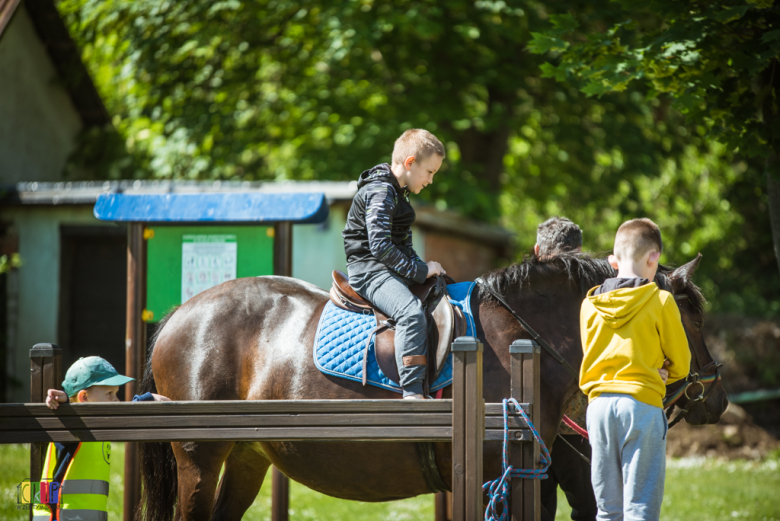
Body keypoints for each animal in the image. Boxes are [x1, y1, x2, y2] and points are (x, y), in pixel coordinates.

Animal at [137, 253, 728, 520]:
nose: (718, 399)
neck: (521, 338)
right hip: (199, 458)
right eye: (693, 319)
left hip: (245, 457)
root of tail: (178, 316)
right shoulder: (493, 478)